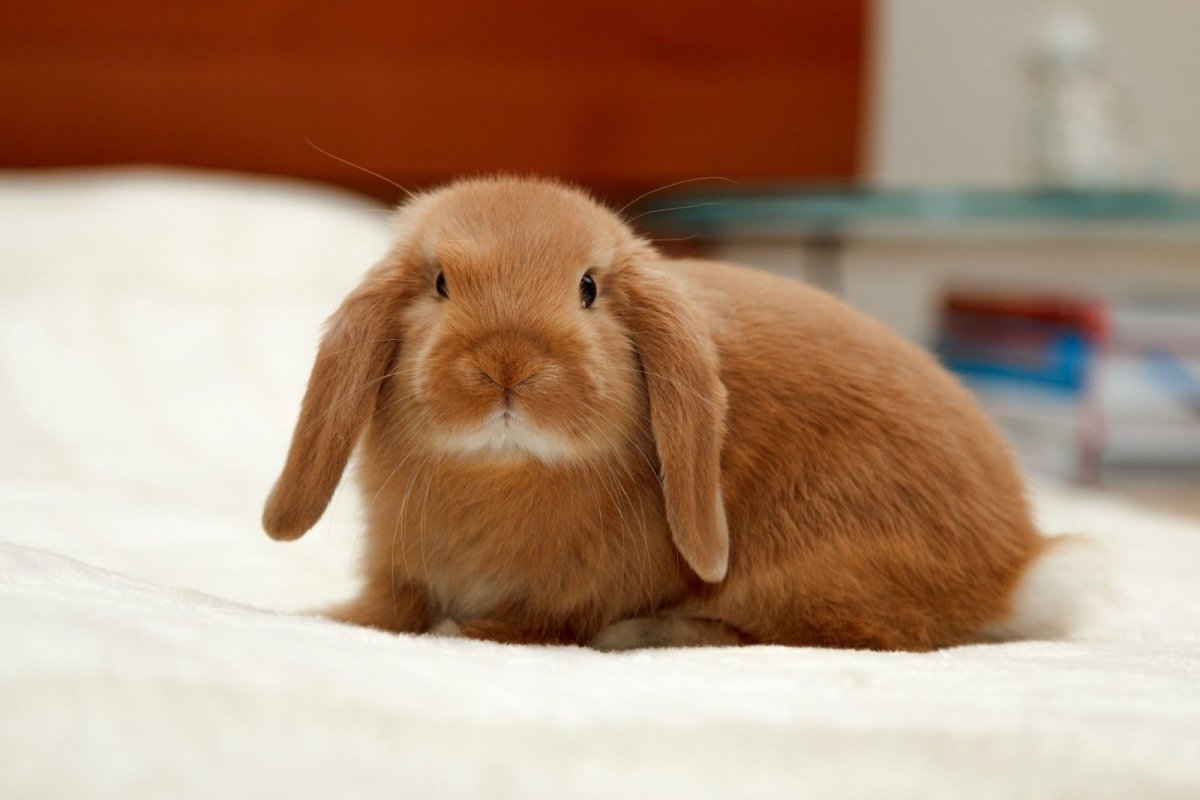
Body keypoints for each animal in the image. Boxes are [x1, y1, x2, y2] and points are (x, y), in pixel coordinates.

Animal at [262, 176, 1094, 651]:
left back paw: (642, 632)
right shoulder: (397, 569)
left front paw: (473, 628)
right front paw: (332, 616)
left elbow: (532, 624)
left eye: (589, 288)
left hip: (814, 567)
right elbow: (385, 608)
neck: (503, 470)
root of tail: (1018, 567)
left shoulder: (569, 593)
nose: (509, 363)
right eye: (439, 282)